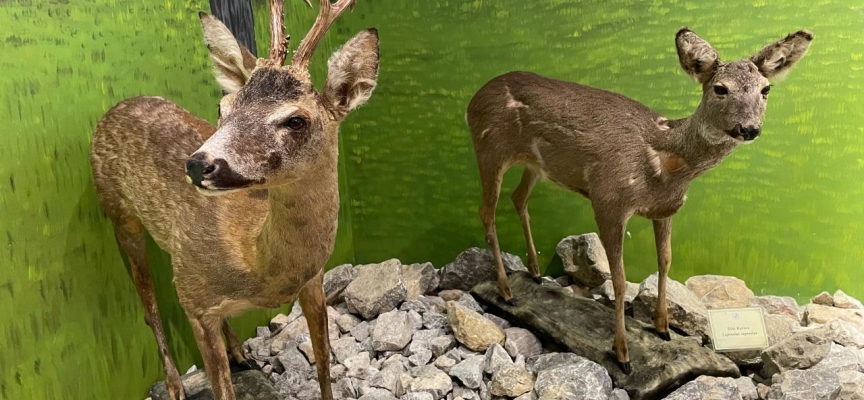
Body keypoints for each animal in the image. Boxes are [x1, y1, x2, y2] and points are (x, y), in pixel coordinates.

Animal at [88, 1, 378, 398]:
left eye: (296, 120)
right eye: (222, 108)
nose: (198, 164)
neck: (257, 264)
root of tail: (114, 107)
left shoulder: (314, 280)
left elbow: (324, 368)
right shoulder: (196, 306)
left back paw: (241, 353)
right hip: (117, 210)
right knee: (148, 304)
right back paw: (175, 385)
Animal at [466, 28, 808, 376]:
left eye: (765, 89)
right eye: (720, 88)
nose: (749, 128)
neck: (663, 162)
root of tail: (474, 98)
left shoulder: (666, 210)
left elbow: (665, 262)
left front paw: (663, 328)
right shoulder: (608, 200)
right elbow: (618, 279)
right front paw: (623, 354)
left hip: (534, 165)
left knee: (518, 197)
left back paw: (535, 273)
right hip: (489, 147)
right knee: (485, 211)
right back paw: (507, 291)